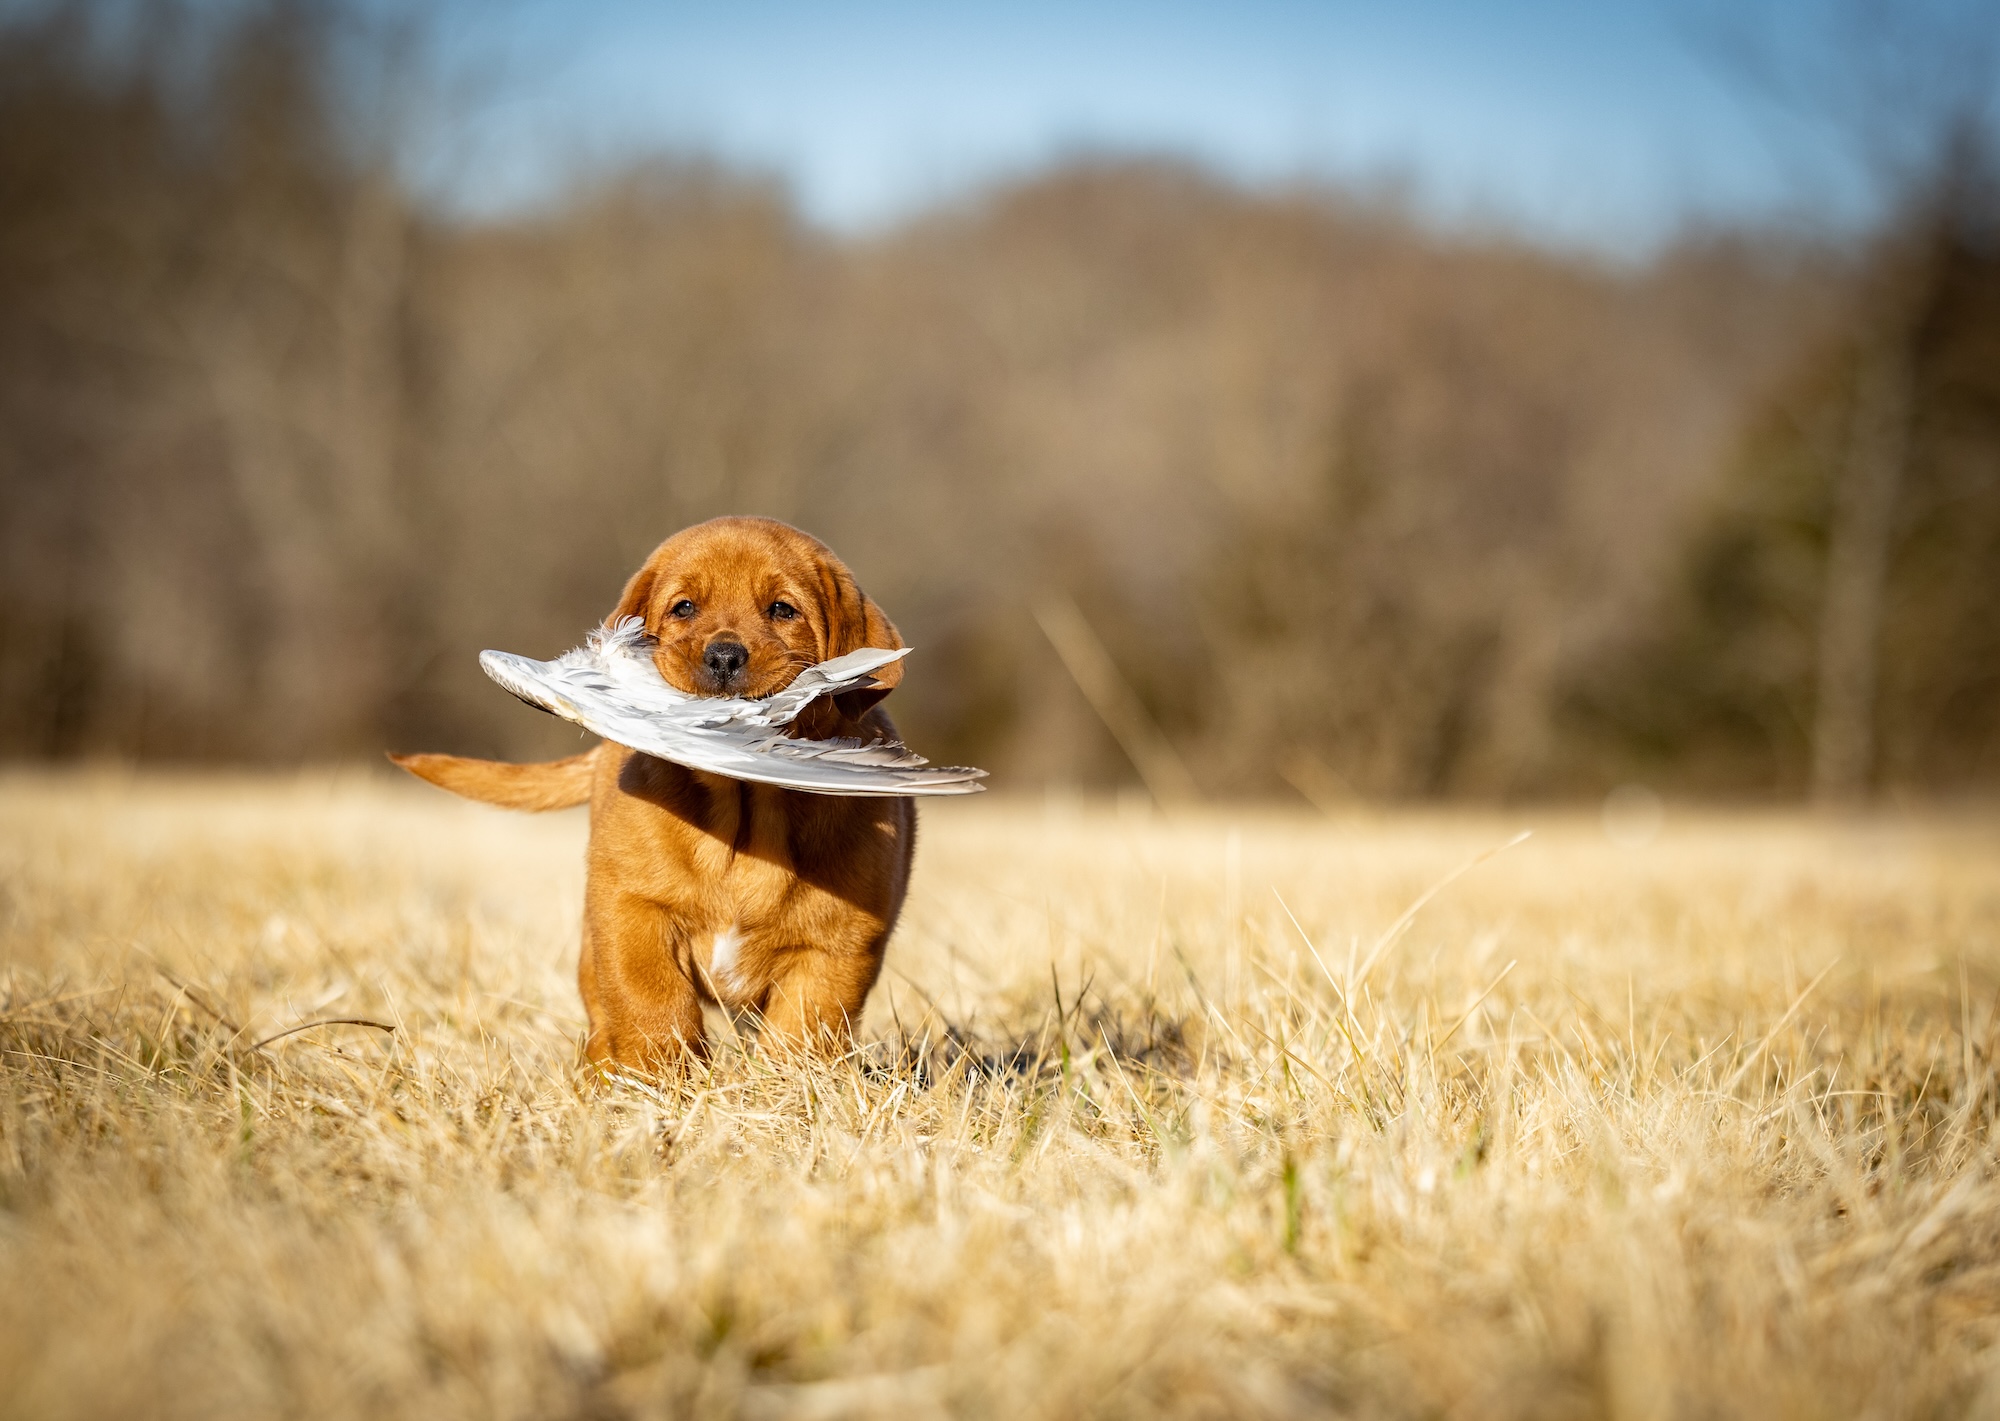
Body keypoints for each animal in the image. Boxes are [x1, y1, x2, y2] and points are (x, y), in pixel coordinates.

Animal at [388, 516, 916, 1072]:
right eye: (684, 607)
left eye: (782, 609)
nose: (724, 656)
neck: (743, 808)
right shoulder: (629, 909)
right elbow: (651, 1000)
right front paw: (660, 1079)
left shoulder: (838, 946)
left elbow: (802, 1032)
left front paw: (779, 1087)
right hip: (592, 935)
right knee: (603, 1005)